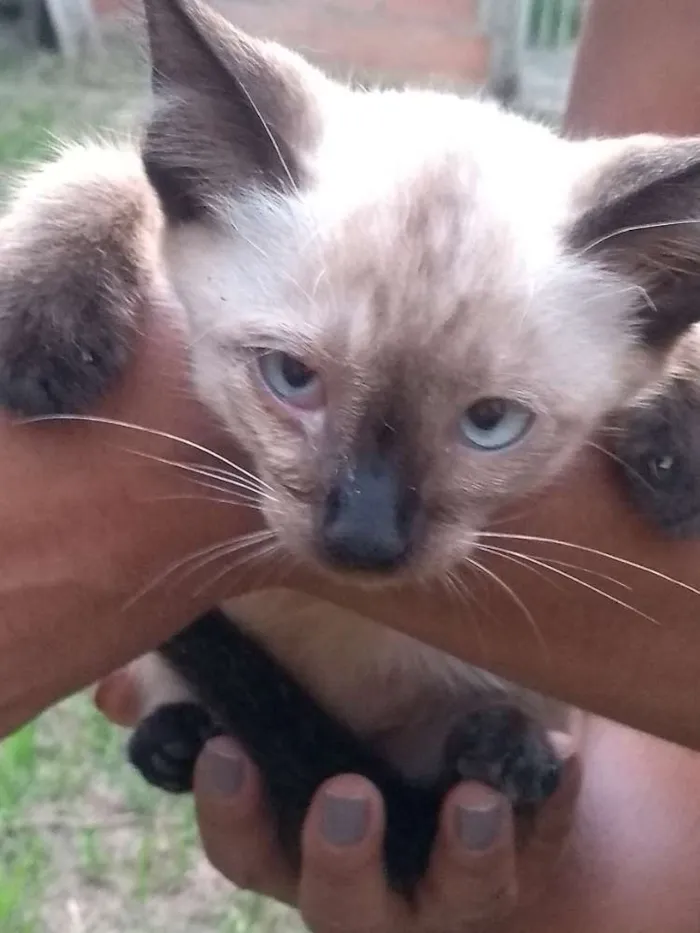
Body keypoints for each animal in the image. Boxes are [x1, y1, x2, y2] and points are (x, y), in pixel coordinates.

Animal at [1, 0, 700, 896]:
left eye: (490, 423)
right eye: (291, 378)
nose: (364, 538)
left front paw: (674, 446)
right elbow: (99, 172)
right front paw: (43, 339)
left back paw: (501, 755)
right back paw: (177, 742)